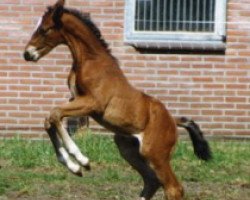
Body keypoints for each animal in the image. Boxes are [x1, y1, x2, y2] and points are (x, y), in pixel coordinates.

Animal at [23, 0, 212, 199]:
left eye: (44, 29)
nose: (27, 54)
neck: (91, 60)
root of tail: (173, 121)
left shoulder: (92, 104)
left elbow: (55, 114)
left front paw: (83, 161)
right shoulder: (75, 99)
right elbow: (49, 119)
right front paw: (74, 167)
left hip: (156, 155)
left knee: (173, 188)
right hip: (128, 149)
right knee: (152, 181)